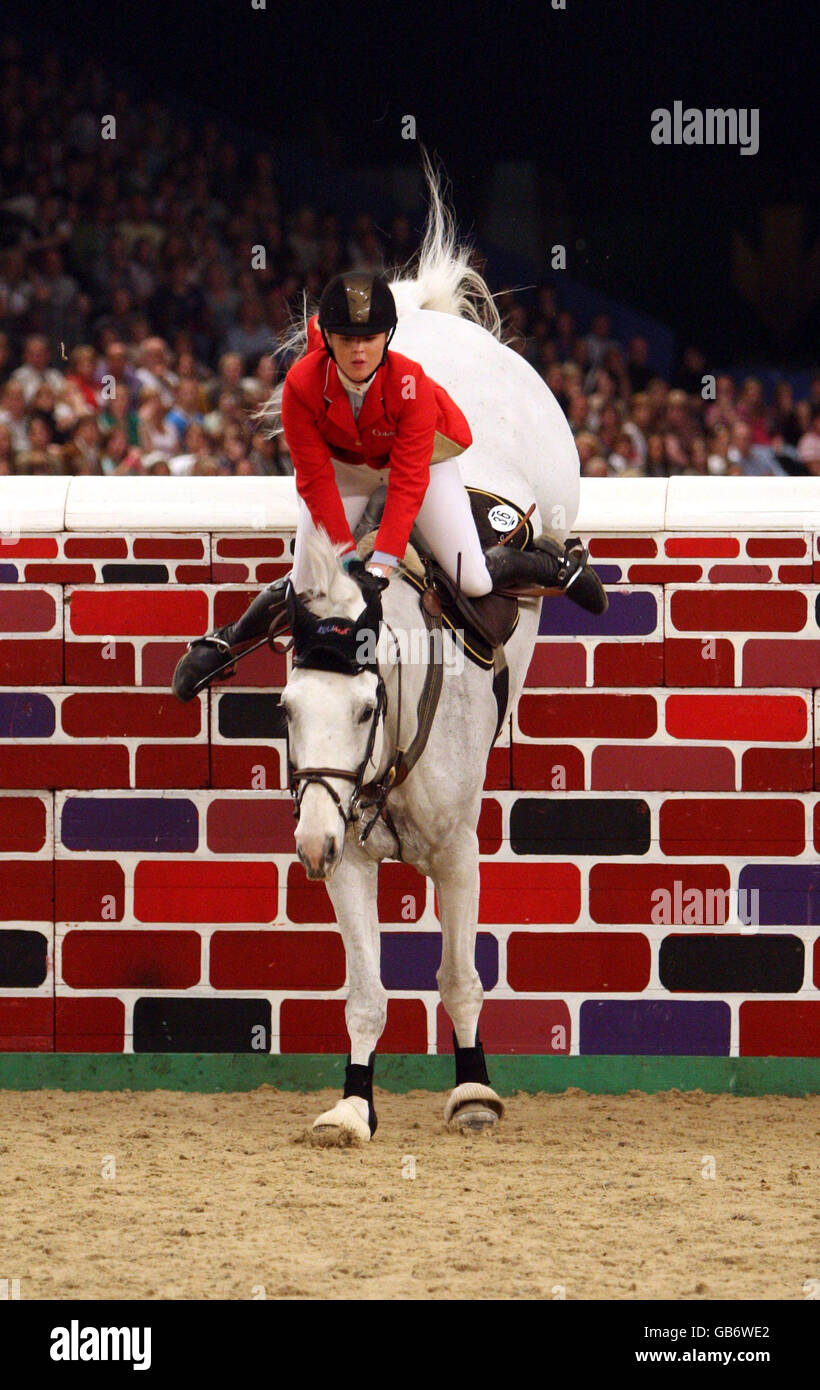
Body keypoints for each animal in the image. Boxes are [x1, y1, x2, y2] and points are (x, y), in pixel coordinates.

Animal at [269, 162, 583, 1139]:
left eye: (368, 705)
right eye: (284, 709)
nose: (306, 846)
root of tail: (436, 318)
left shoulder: (455, 854)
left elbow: (458, 975)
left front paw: (474, 1091)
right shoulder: (348, 854)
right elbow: (367, 994)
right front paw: (352, 1106)